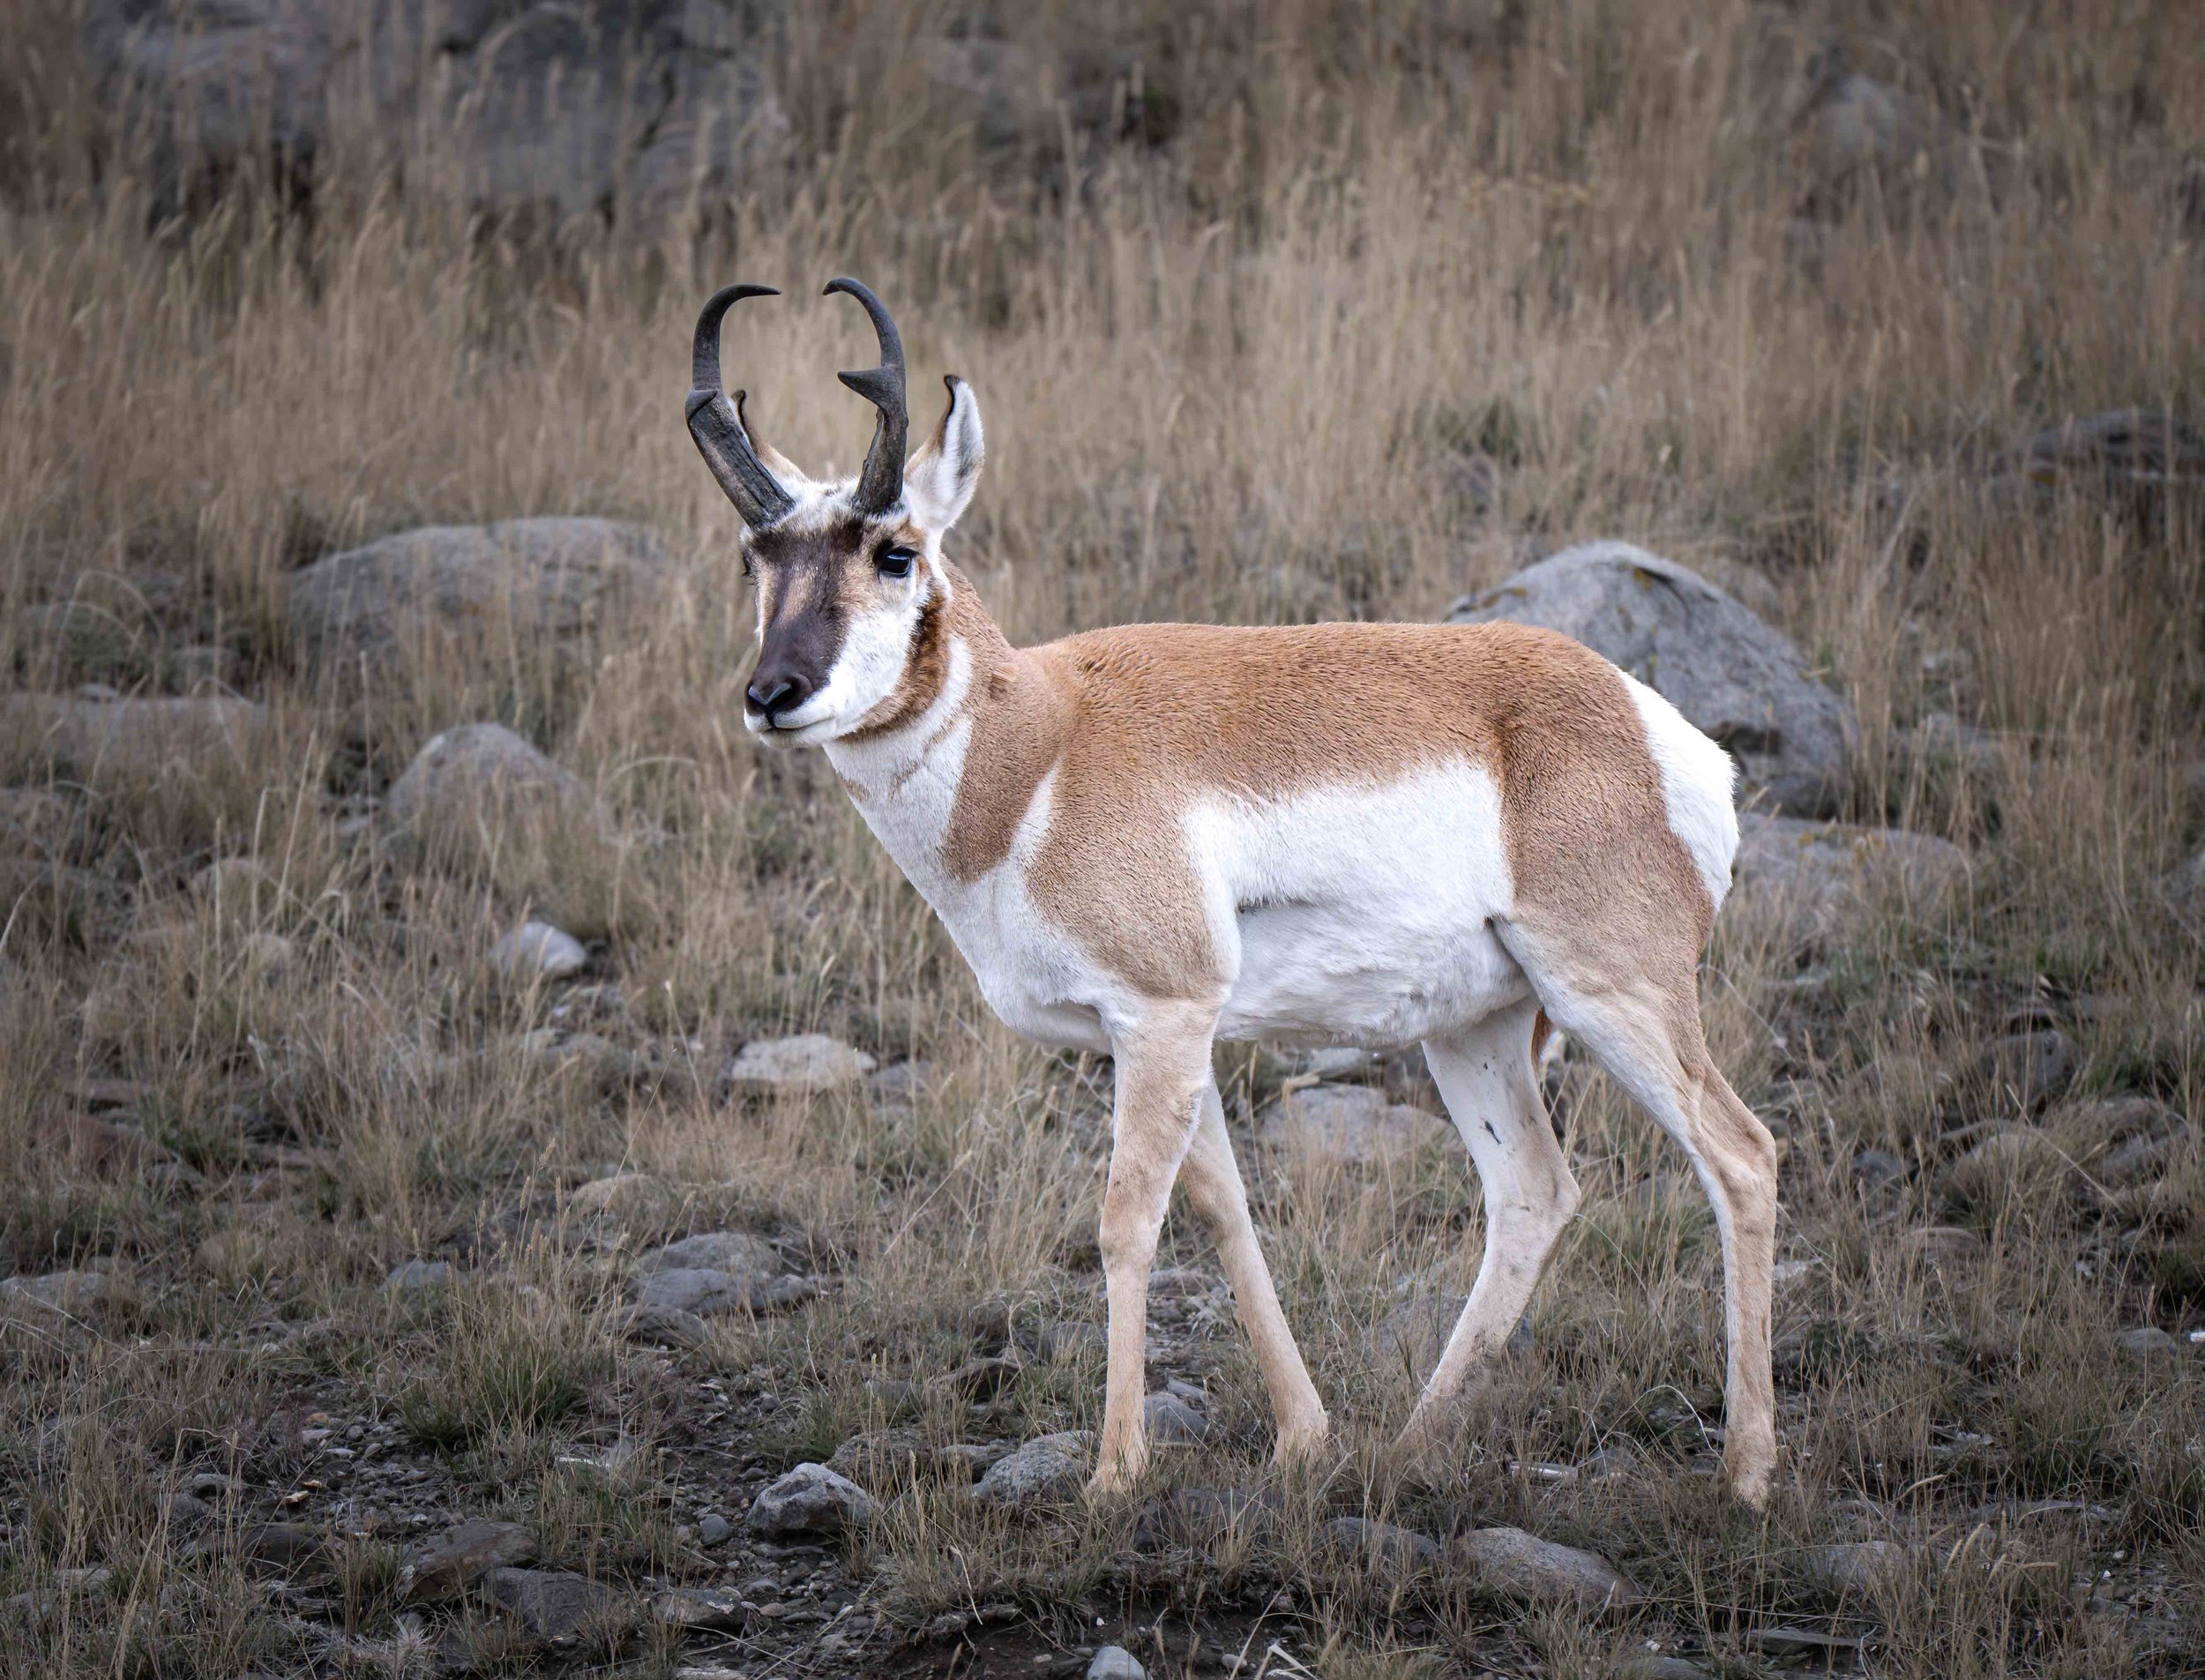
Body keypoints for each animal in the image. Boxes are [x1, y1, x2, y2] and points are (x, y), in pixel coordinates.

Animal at [684, 280, 1781, 1506]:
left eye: (894, 551)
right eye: (754, 555)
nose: (774, 694)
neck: (1040, 745)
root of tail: (1656, 730)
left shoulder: (1162, 1014)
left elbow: (1127, 1222)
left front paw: (1114, 1473)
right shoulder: (1163, 1033)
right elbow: (1221, 1210)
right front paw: (1303, 1436)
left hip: (1613, 995)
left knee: (1742, 1157)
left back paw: (1747, 1474)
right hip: (1479, 1029)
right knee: (1534, 1193)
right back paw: (1410, 1444)